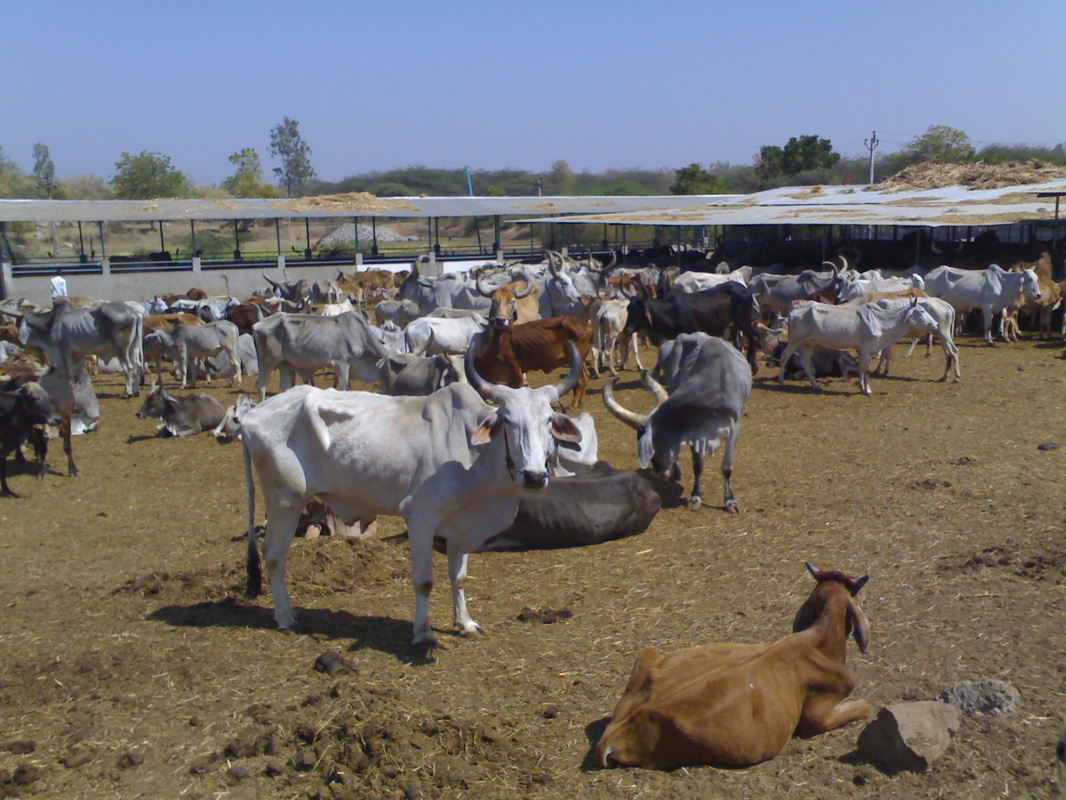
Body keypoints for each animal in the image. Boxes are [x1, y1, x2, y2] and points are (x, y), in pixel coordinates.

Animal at [0, 299, 144, 397]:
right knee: (137, 365)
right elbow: (79, 374)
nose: (19, 341)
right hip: (134, 347)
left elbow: (69, 374)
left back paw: (128, 392)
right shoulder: (79, 354)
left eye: (18, 322)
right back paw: (136, 391)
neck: (51, 324)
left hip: (122, 350)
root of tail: (134, 313)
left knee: (128, 368)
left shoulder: (65, 353)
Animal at [240, 343, 585, 650]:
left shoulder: (462, 527)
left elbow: (459, 577)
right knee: (274, 555)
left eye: (548, 421)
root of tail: (252, 415)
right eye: (509, 421)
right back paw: (285, 617)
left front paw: (465, 623)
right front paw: (423, 634)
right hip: (286, 500)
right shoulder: (420, 518)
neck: (474, 453)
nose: (534, 476)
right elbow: (424, 580)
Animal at [251, 311, 389, 402]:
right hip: (267, 362)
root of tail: (257, 325)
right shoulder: (342, 363)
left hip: (283, 363)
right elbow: (344, 389)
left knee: (285, 386)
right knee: (261, 385)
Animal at [603, 335, 752, 512]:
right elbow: (698, 465)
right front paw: (695, 496)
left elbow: (726, 467)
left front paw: (730, 501)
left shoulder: (734, 427)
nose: (657, 473)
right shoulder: (693, 431)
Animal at [776, 299, 940, 395]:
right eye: (921, 311)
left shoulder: (862, 349)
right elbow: (866, 369)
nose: (936, 324)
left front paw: (861, 386)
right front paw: (867, 389)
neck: (881, 321)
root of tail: (794, 308)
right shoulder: (866, 347)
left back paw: (815, 385)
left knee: (805, 362)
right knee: (784, 356)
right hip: (795, 340)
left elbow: (861, 368)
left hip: (808, 343)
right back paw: (781, 382)